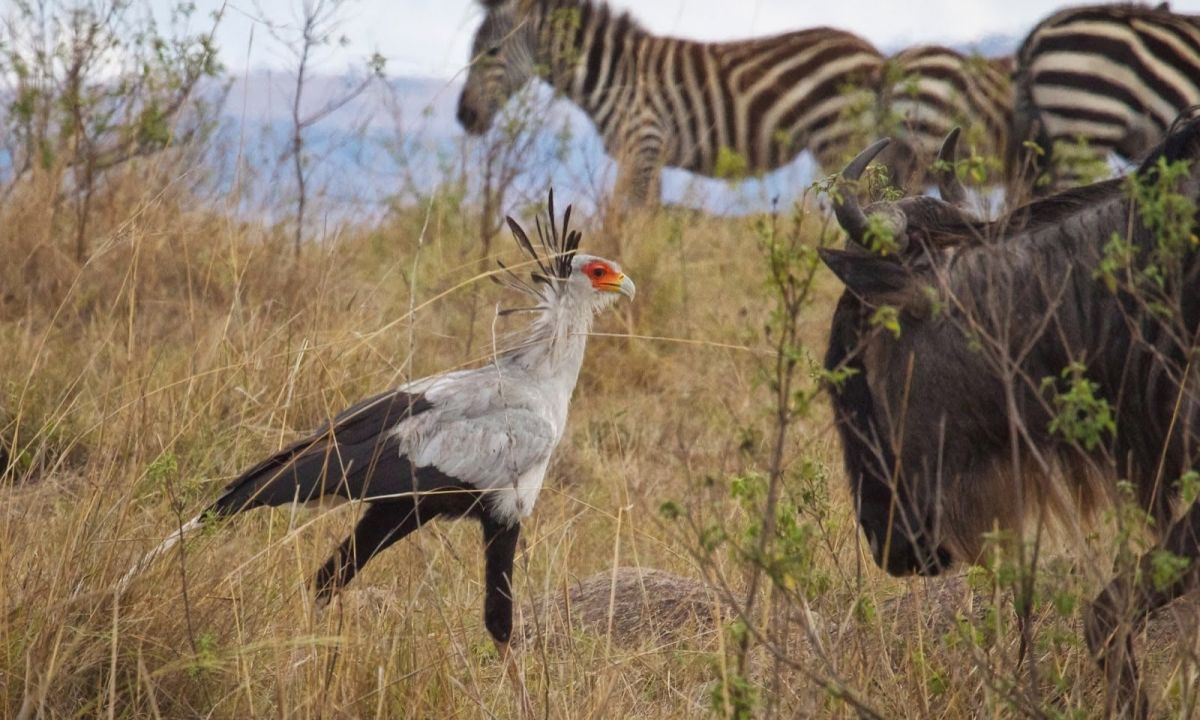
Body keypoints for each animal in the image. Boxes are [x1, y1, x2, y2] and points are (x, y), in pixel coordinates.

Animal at [453, 0, 888, 205]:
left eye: (491, 52)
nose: (464, 116)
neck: (614, 74)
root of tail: (875, 54)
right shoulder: (649, 156)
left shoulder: (643, 144)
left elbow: (626, 225)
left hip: (838, 138)